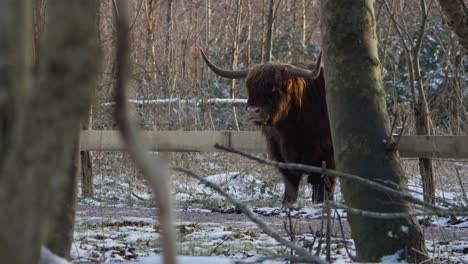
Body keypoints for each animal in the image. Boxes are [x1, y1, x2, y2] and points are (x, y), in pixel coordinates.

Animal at [199, 49, 334, 203]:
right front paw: (287, 202)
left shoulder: (326, 156)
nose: (253, 111)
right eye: (249, 87)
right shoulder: (279, 153)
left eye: (274, 88)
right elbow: (290, 183)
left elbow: (322, 186)